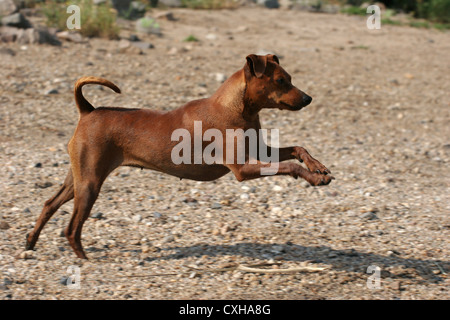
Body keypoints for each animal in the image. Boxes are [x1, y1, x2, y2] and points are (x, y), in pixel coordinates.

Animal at [25, 54, 334, 260]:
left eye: (290, 79)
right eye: (281, 80)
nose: (307, 99)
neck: (235, 108)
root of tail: (88, 110)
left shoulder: (258, 151)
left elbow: (297, 149)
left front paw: (318, 167)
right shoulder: (242, 169)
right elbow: (290, 165)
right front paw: (312, 177)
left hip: (77, 179)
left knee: (49, 204)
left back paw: (30, 241)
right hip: (89, 184)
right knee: (71, 227)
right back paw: (84, 258)